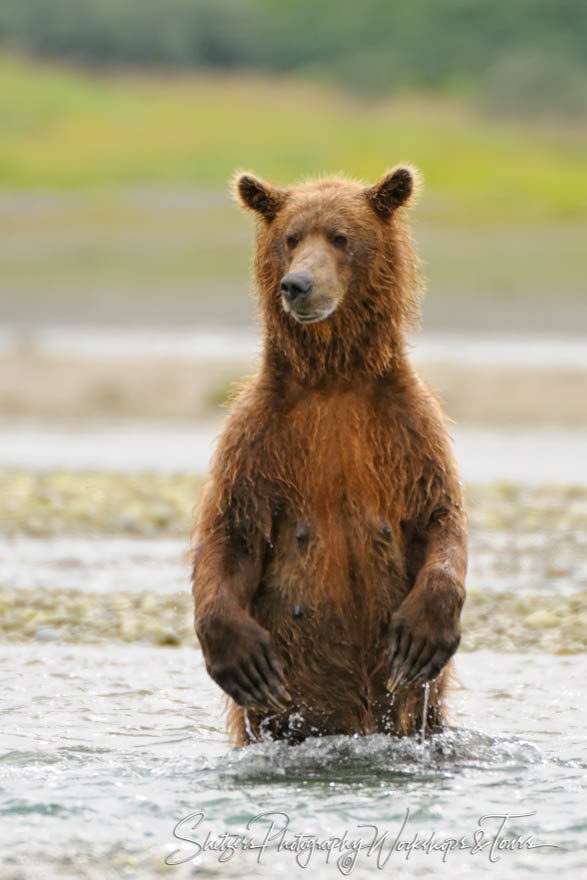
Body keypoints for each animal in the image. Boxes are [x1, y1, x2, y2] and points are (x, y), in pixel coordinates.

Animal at [193, 165, 468, 744]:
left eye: (341, 237)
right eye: (291, 238)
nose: (297, 284)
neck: (334, 379)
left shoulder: (407, 429)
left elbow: (439, 515)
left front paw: (421, 637)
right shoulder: (260, 436)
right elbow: (231, 531)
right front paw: (241, 658)